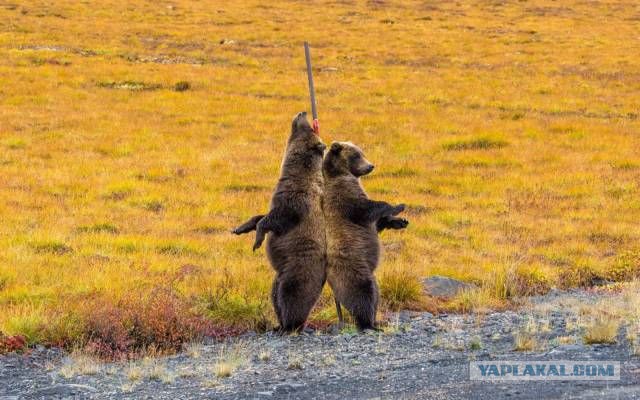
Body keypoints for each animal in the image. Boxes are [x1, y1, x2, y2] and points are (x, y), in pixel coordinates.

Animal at [232, 111, 328, 332]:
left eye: (307, 127)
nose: (302, 112)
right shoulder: (280, 197)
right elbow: (263, 216)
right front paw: (241, 228)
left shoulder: (296, 202)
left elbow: (276, 218)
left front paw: (257, 241)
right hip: (280, 274)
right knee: (275, 295)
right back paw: (279, 324)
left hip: (298, 270)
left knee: (291, 295)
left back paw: (290, 325)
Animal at [322, 142, 408, 330]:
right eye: (356, 155)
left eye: (362, 153)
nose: (370, 166)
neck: (341, 174)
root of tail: (332, 285)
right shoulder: (343, 197)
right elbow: (365, 209)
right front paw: (398, 206)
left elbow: (376, 223)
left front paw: (400, 221)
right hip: (353, 270)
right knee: (363, 292)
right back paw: (368, 323)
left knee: (375, 292)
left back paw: (376, 320)